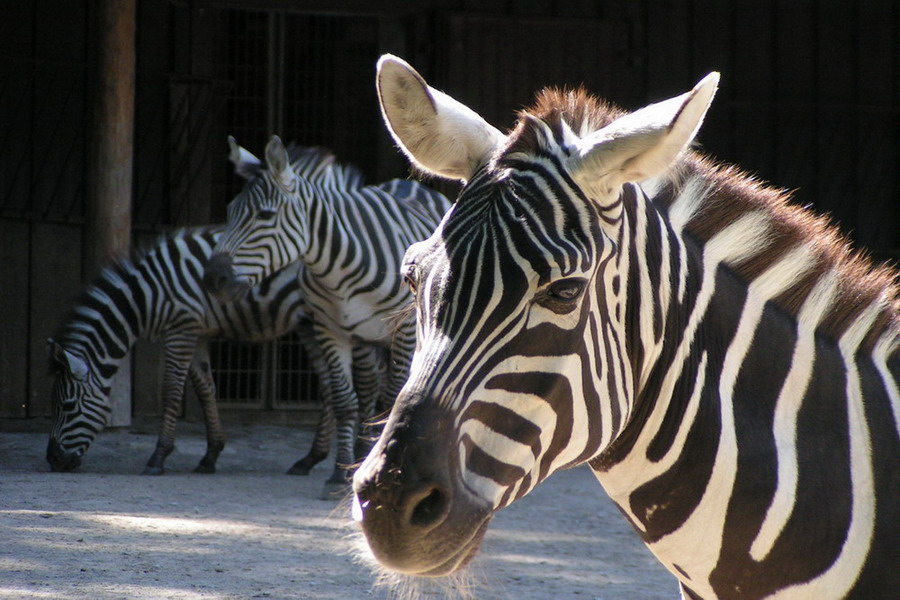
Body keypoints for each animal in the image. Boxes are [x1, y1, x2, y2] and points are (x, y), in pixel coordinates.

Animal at [46, 225, 380, 478]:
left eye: (68, 406)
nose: (53, 460)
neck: (146, 295)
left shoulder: (180, 330)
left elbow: (171, 390)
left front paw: (158, 457)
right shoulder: (198, 334)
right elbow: (205, 388)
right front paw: (211, 455)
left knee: (363, 381)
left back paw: (358, 453)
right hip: (310, 323)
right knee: (330, 385)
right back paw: (311, 459)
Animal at [203, 138, 450, 490]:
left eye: (265, 215)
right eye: (229, 211)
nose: (212, 280)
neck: (336, 267)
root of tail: (411, 184)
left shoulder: (402, 331)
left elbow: (393, 397)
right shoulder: (330, 328)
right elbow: (345, 399)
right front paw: (339, 471)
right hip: (362, 335)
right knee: (368, 386)